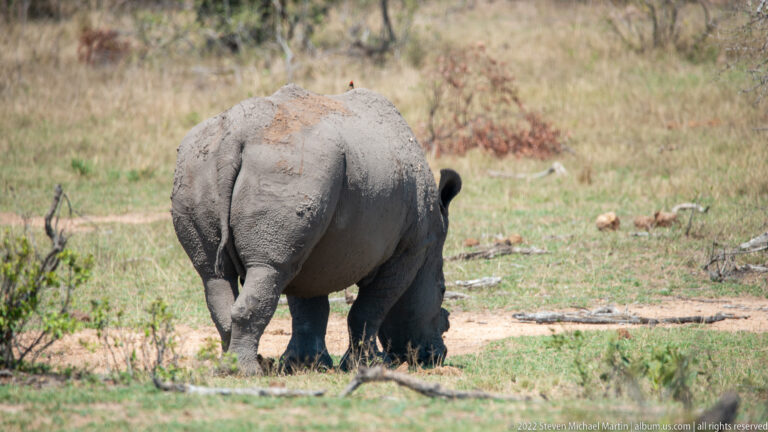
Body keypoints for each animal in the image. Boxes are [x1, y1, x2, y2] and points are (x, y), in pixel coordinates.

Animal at [171, 84, 461, 375]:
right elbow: (370, 308)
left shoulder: (313, 246)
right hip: (288, 166)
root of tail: (235, 134)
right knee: (268, 268)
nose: (437, 355)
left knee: (215, 274)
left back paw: (229, 367)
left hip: (202, 165)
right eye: (442, 290)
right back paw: (247, 372)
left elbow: (309, 306)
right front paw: (369, 365)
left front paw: (305, 364)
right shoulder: (410, 249)